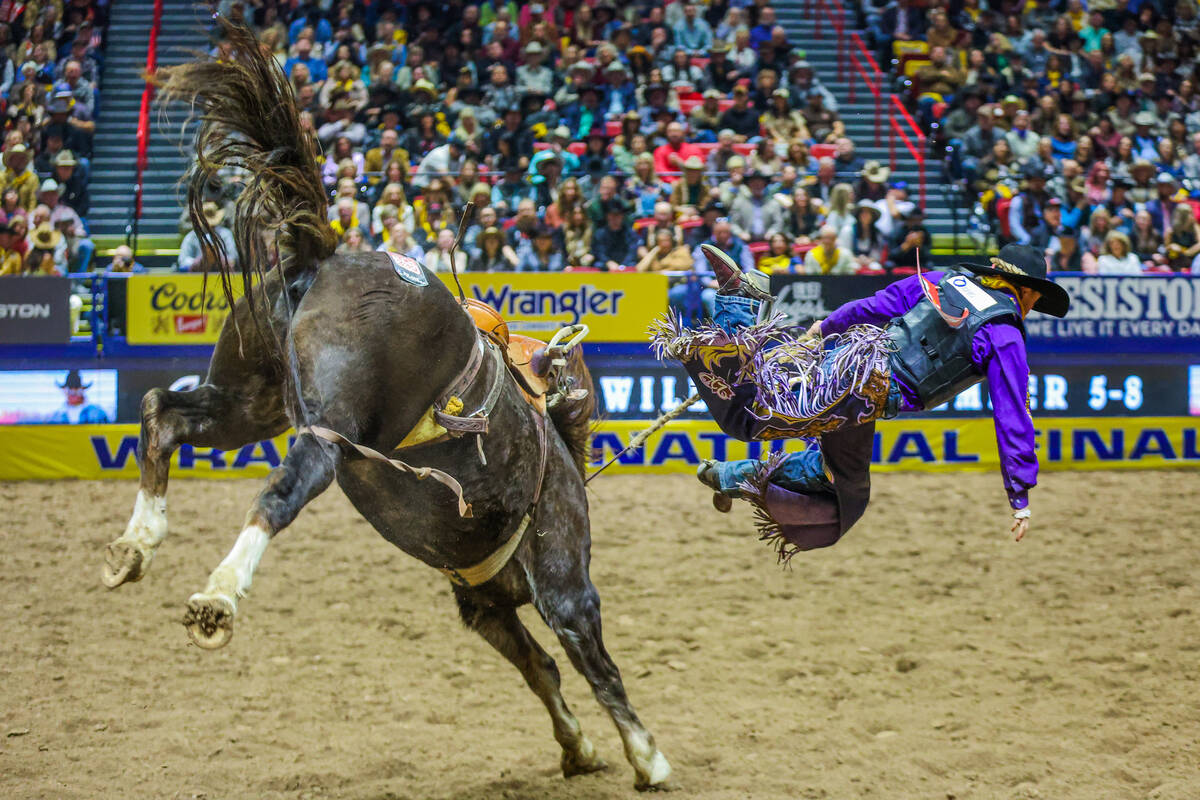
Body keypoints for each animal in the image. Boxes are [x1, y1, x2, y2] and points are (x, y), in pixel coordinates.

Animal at [100, 21, 676, 791]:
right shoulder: (562, 585)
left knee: (163, 412)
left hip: (253, 400)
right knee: (286, 486)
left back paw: (137, 544)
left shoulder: (481, 606)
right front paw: (647, 758)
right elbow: (593, 664)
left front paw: (578, 749)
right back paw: (219, 595)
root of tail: (326, 255)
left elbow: (541, 670)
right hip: (329, 428)